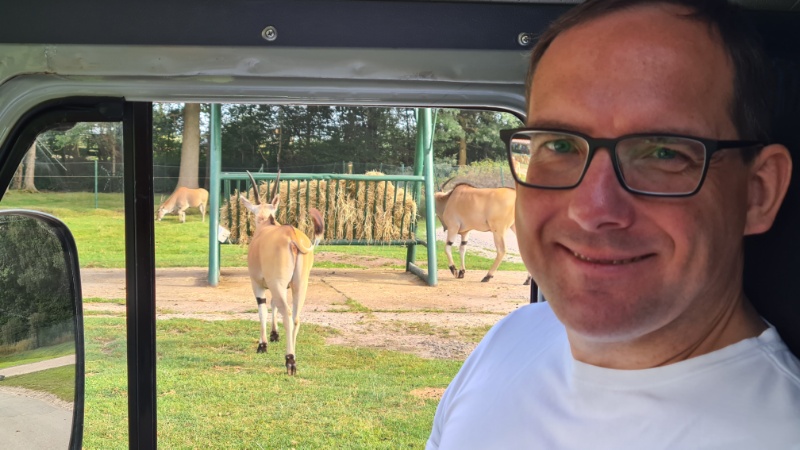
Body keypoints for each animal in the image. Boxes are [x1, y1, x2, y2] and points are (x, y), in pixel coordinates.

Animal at [239, 171, 324, 375]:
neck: (266, 225)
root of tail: (292, 236)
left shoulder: (258, 284)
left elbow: (262, 308)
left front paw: (263, 345)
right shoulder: (282, 286)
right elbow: (273, 304)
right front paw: (274, 335)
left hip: (276, 283)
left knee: (287, 313)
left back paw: (290, 361)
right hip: (300, 284)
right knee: (295, 317)